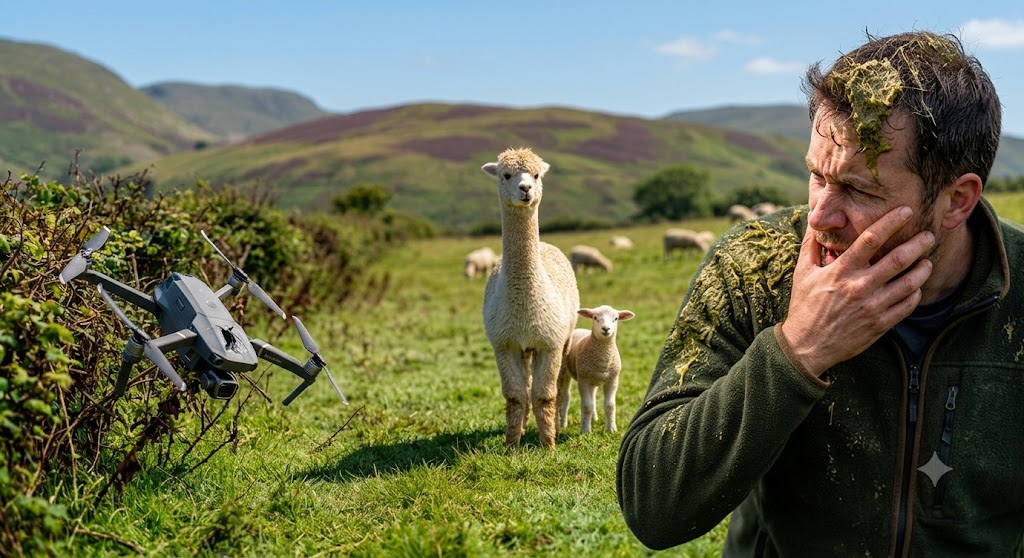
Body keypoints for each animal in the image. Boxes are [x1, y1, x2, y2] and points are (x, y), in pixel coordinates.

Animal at [481, 147, 580, 449]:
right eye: (506, 175)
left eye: (536, 175)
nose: (526, 189)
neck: (525, 305)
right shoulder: (504, 343)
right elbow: (515, 395)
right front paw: (512, 443)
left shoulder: (550, 342)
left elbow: (544, 395)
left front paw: (548, 444)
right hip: (524, 348)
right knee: (525, 386)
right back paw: (524, 427)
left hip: (563, 337)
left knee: (558, 386)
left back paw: (555, 426)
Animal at [557, 305, 635, 434]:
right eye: (595, 317)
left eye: (616, 318)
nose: (606, 329)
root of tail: (578, 329)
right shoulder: (583, 380)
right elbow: (586, 406)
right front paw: (585, 431)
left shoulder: (612, 380)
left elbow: (610, 406)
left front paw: (612, 429)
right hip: (564, 371)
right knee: (565, 396)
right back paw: (563, 423)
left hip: (592, 378)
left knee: (592, 397)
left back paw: (594, 419)